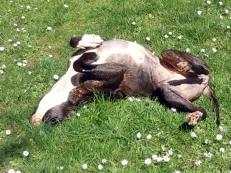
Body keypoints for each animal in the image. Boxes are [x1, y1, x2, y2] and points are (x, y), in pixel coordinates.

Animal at [31, 34, 220, 128]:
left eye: (53, 121)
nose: (39, 122)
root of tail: (206, 86)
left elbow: (74, 44)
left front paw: (91, 40)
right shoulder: (117, 74)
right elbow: (84, 73)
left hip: (170, 57)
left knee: (202, 69)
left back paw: (185, 65)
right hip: (167, 92)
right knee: (203, 109)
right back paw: (194, 116)